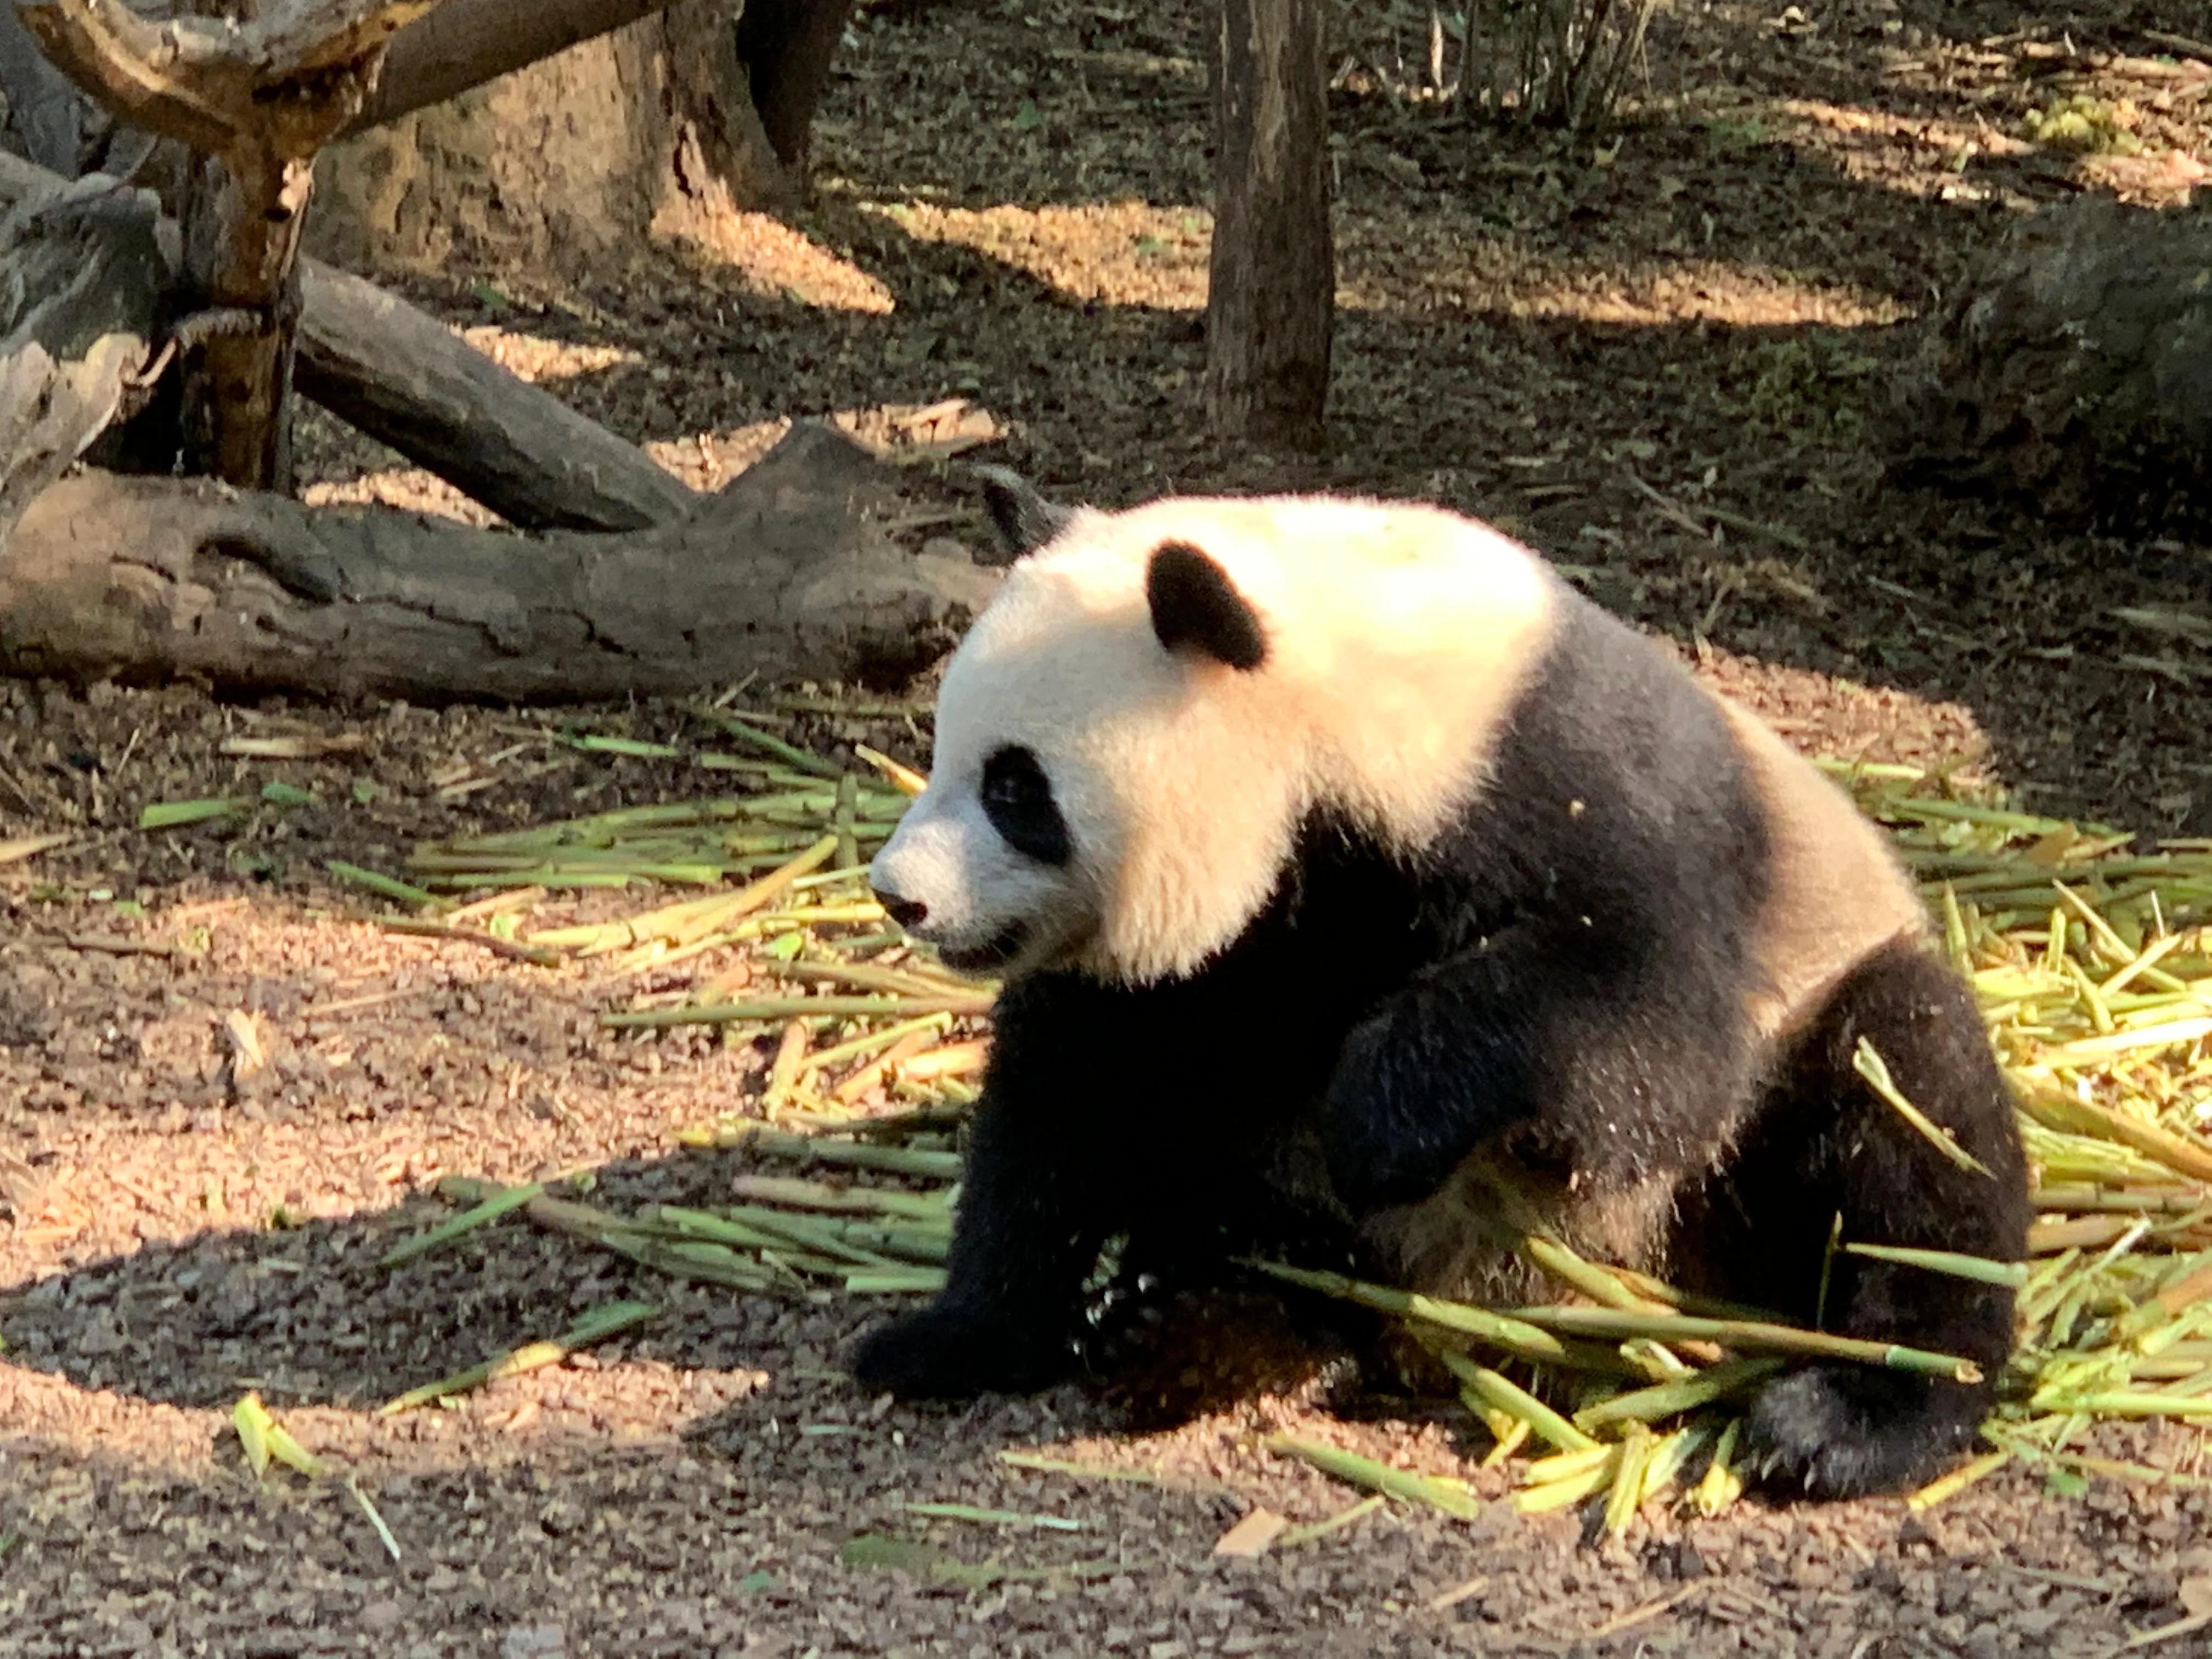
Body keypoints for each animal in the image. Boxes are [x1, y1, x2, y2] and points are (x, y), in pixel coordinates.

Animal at [854, 473, 2026, 1504]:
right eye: (943, 744)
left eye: (1016, 787)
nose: (898, 894)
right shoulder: (1226, 949)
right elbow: (1074, 1093)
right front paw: (956, 1335)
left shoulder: (1562, 789)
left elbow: (1650, 1035)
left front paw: (1380, 1122)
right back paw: (1200, 1325)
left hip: (1798, 1059)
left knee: (1909, 1121)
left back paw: (1848, 1417)